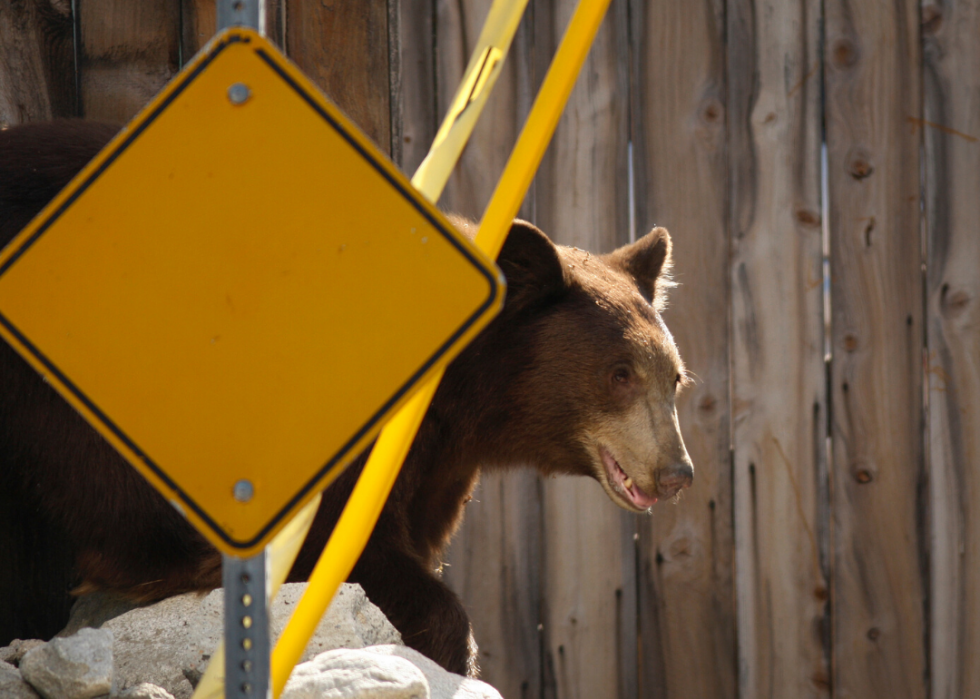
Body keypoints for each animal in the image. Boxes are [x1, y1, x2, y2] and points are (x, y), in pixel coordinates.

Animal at [0, 120, 692, 680]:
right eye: (619, 373)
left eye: (674, 378)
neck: (459, 394)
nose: (677, 472)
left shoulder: (437, 459)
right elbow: (343, 551)